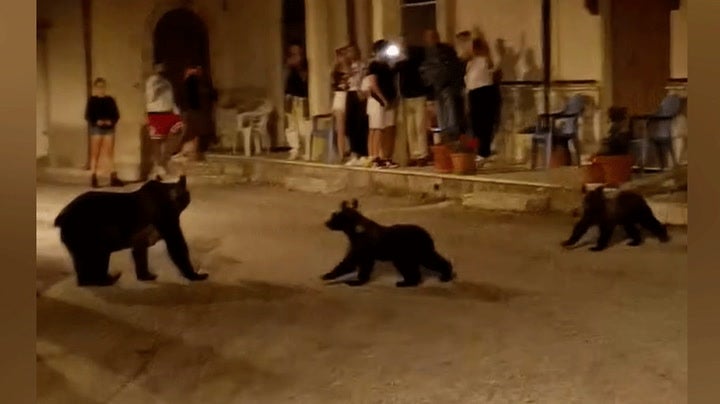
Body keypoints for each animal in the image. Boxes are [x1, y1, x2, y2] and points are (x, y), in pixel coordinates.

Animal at [54, 175, 209, 286]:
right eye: (183, 195)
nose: (184, 199)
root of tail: (61, 216)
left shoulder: (141, 238)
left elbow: (140, 256)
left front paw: (146, 275)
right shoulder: (168, 223)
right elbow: (178, 248)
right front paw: (196, 275)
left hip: (80, 242)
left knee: (81, 264)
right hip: (92, 237)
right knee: (95, 259)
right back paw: (107, 279)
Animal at [321, 199, 455, 287]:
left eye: (334, 216)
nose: (326, 223)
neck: (354, 231)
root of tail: (427, 235)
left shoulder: (362, 247)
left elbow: (349, 262)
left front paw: (328, 275)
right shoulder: (366, 253)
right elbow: (364, 266)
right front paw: (359, 280)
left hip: (413, 251)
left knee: (428, 261)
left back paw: (443, 276)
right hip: (409, 254)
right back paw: (408, 281)